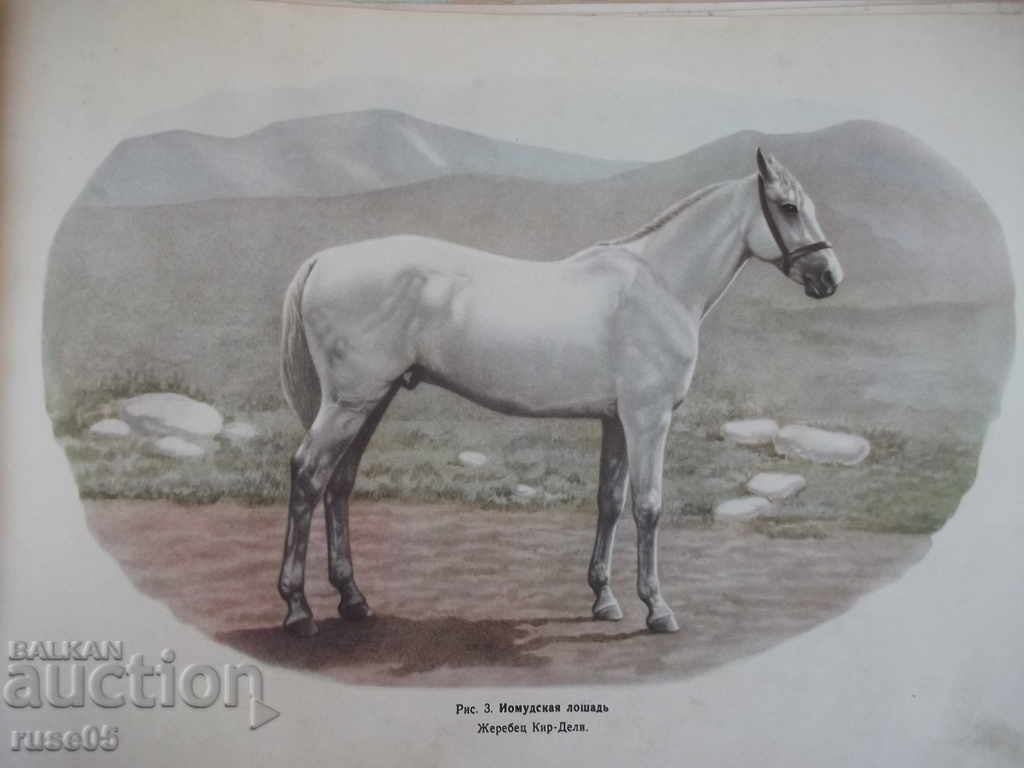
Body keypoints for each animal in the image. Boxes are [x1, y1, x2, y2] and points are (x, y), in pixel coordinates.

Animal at [276, 148, 843, 637]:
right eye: (789, 208)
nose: (830, 278)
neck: (659, 284)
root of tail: (324, 260)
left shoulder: (616, 420)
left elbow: (609, 502)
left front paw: (604, 600)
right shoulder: (647, 418)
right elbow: (648, 506)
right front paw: (657, 608)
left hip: (372, 400)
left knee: (340, 482)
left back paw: (354, 600)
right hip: (349, 404)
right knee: (308, 476)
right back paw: (298, 609)